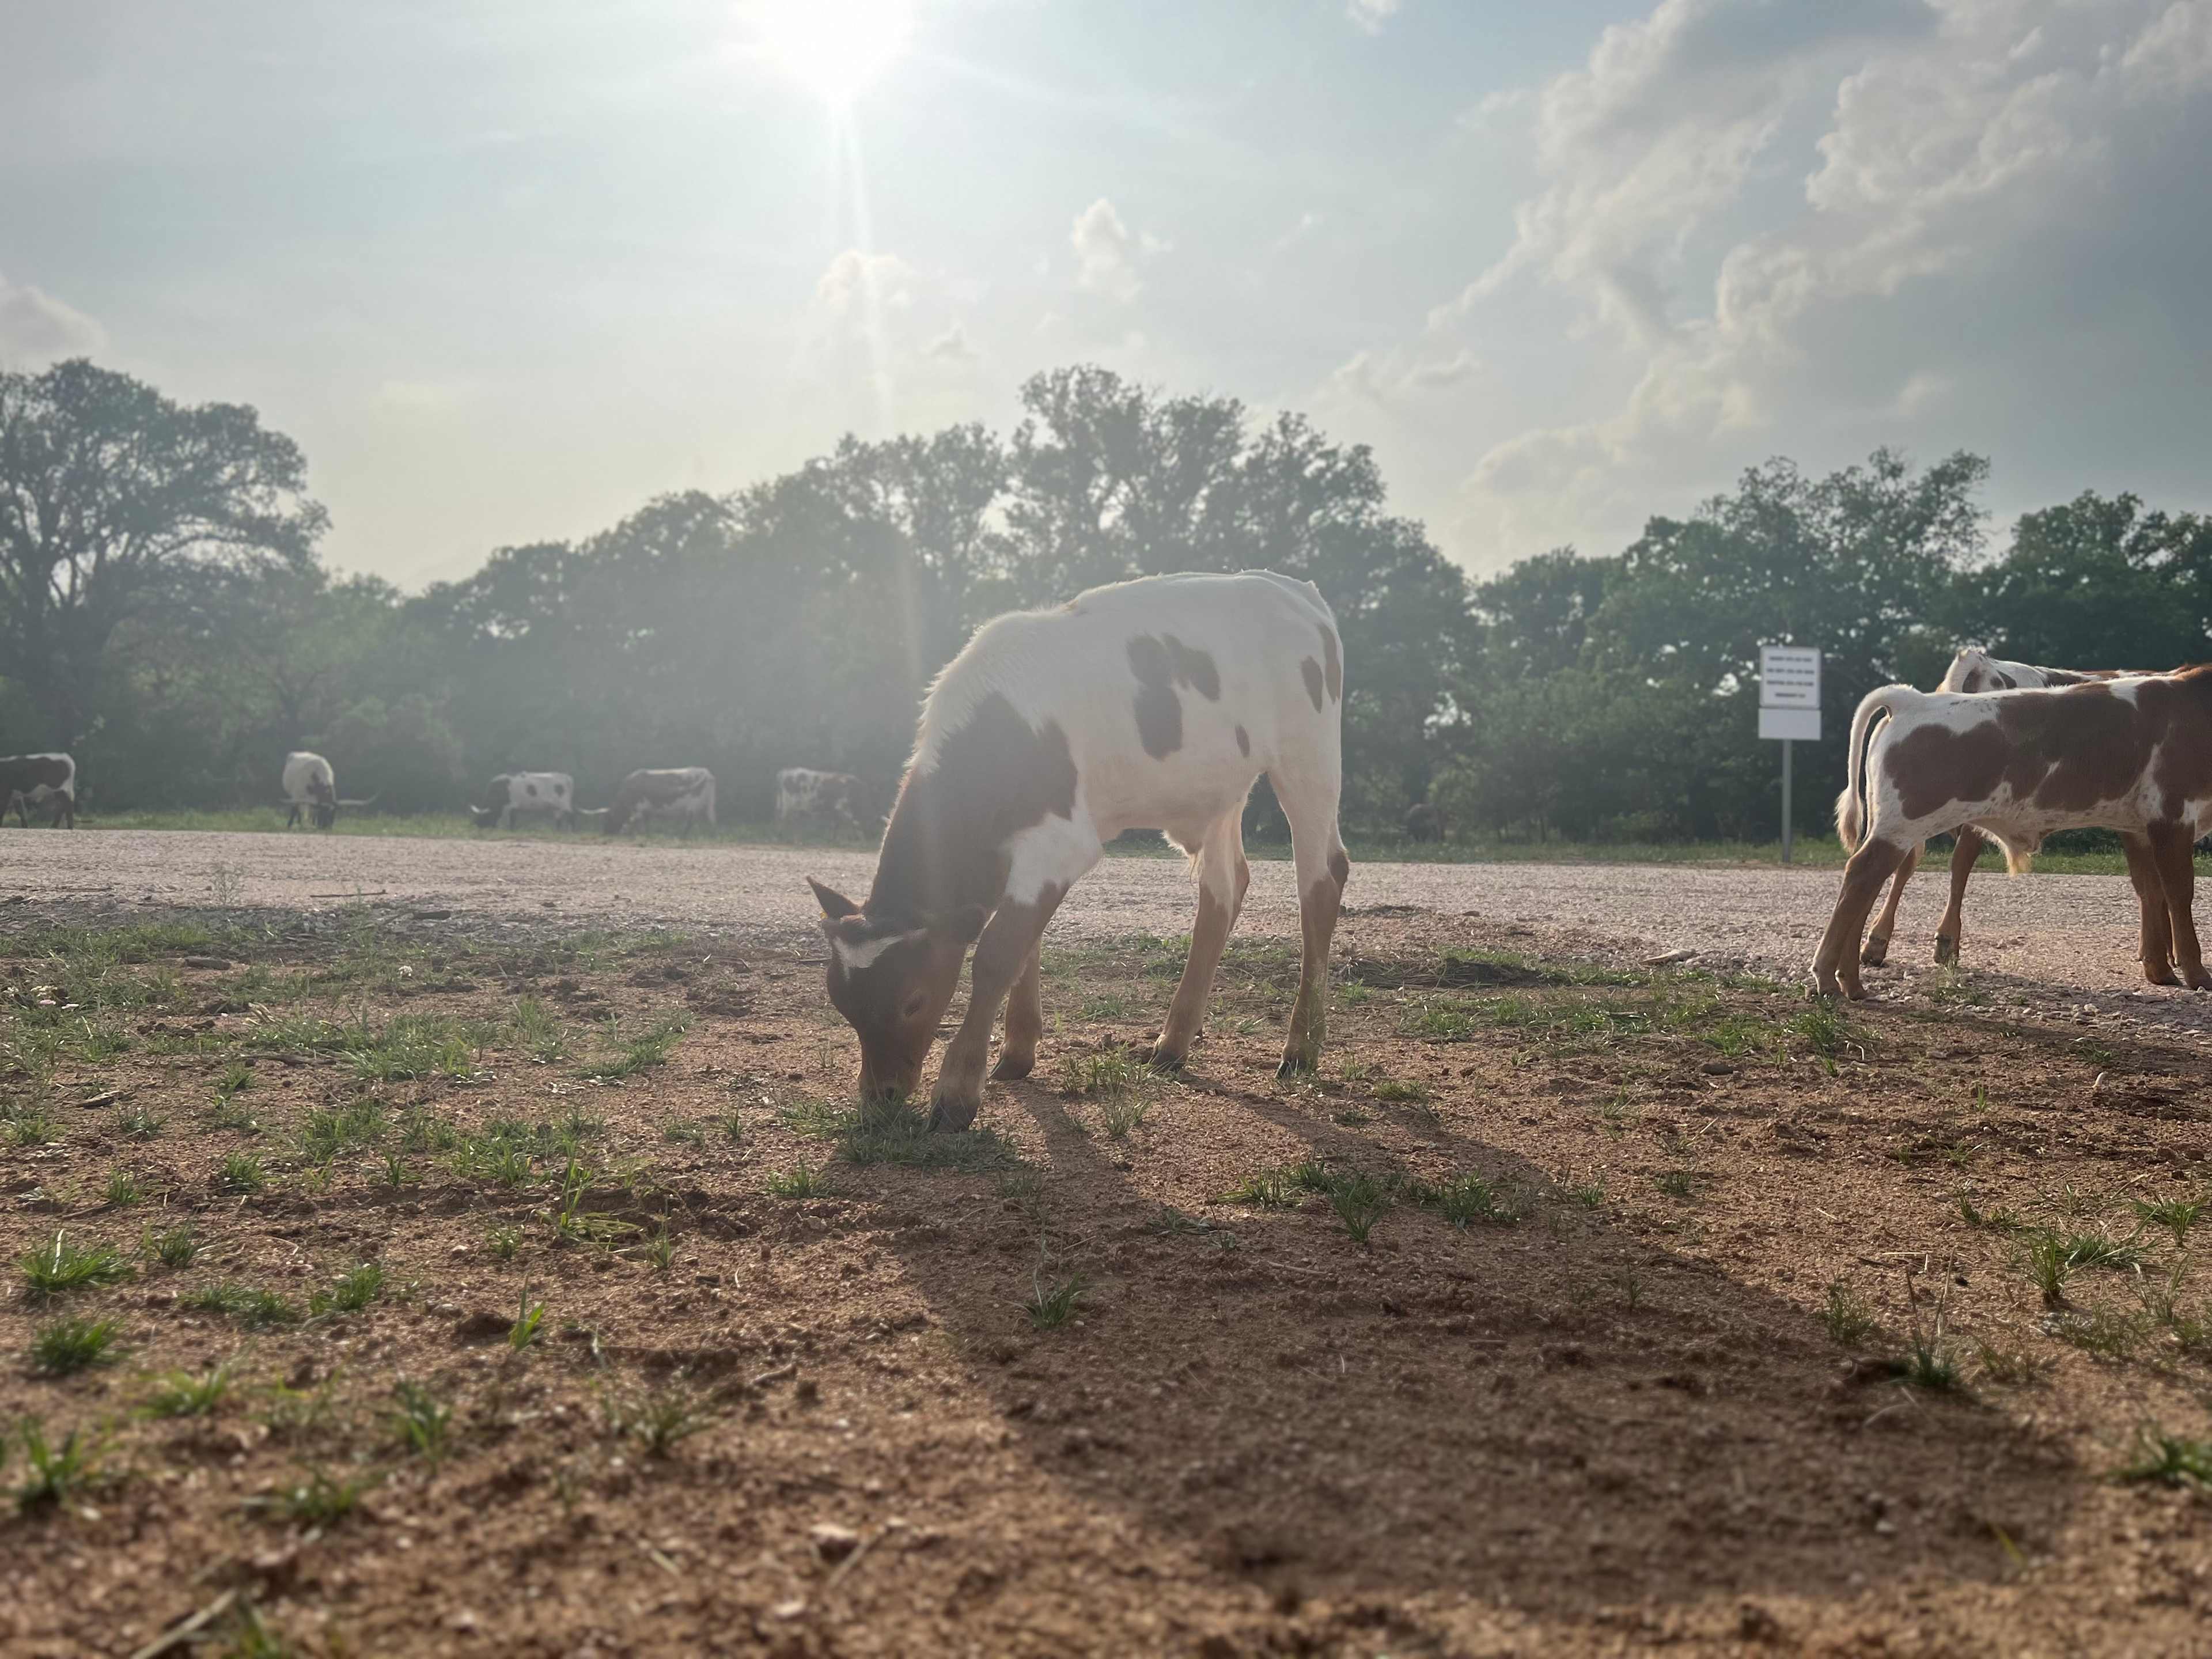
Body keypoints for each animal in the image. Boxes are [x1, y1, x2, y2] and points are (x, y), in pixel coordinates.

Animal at [1, 753, 76, 828]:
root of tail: (64, 756)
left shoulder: (6, 792)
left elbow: (3, 808)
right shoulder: (16, 795)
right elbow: (21, 811)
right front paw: (26, 827)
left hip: (59, 789)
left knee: (67, 804)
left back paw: (69, 827)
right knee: (62, 806)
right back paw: (54, 827)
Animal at [469, 772, 576, 830]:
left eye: (481, 818)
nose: (477, 827)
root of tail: (567, 777)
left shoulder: (508, 807)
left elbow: (506, 822)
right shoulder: (514, 809)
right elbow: (513, 821)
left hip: (565, 805)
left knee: (571, 818)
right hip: (557, 808)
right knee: (559, 820)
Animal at [603, 768, 717, 835]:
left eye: (608, 819)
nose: (606, 833)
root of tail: (706, 773)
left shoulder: (639, 810)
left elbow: (638, 825)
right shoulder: (647, 812)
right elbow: (645, 825)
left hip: (694, 806)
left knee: (690, 822)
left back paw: (683, 836)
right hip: (709, 805)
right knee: (711, 820)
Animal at [776, 767, 866, 834]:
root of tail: (785, 772)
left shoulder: (836, 812)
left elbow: (836, 826)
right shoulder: (842, 808)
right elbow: (853, 825)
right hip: (788, 805)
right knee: (784, 820)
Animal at [806, 570, 1349, 1131]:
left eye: (914, 1001)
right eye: (841, 1002)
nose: (881, 1098)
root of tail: (1292, 587)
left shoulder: (1061, 843)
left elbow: (999, 952)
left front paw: (957, 1092)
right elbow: (1024, 944)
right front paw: (1017, 1051)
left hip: (1309, 757)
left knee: (1323, 881)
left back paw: (1301, 1048)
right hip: (1220, 786)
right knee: (1224, 887)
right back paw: (1173, 1043)